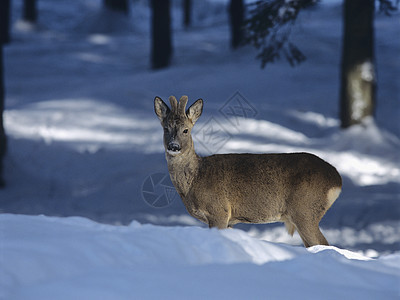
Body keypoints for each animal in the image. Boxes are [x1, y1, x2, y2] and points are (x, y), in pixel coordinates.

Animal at [155, 95, 342, 247]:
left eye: (186, 130)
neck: (195, 180)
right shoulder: (229, 221)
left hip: (305, 211)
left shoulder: (219, 211)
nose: (174, 146)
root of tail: (337, 180)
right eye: (166, 128)